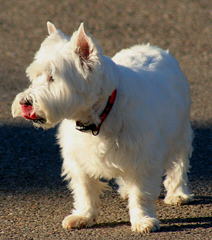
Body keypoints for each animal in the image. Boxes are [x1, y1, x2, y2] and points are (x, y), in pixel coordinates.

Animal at [12, 22, 194, 232]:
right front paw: (83, 216)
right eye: (35, 76)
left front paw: (143, 220)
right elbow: (84, 190)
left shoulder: (143, 158)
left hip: (180, 133)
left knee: (178, 164)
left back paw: (178, 194)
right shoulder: (78, 159)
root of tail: (153, 48)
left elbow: (141, 193)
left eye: (52, 77)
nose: (25, 103)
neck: (98, 116)